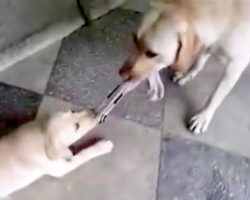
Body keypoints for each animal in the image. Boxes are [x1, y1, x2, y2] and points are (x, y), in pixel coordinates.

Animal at [118, 0, 250, 134]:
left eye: (152, 54)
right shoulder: (209, 43)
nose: (121, 73)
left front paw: (203, 117)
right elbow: (198, 63)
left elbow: (216, 96)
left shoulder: (236, 65)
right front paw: (187, 76)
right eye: (134, 39)